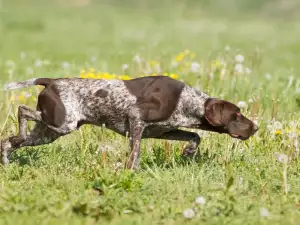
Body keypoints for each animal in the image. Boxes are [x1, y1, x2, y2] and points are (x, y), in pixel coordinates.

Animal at [0, 75, 258, 169]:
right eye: (236, 115)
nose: (255, 127)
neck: (185, 100)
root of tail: (51, 81)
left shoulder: (162, 131)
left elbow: (194, 135)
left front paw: (189, 152)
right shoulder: (136, 120)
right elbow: (135, 153)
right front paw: (130, 172)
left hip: (48, 132)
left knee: (9, 141)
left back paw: (6, 160)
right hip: (63, 122)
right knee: (22, 111)